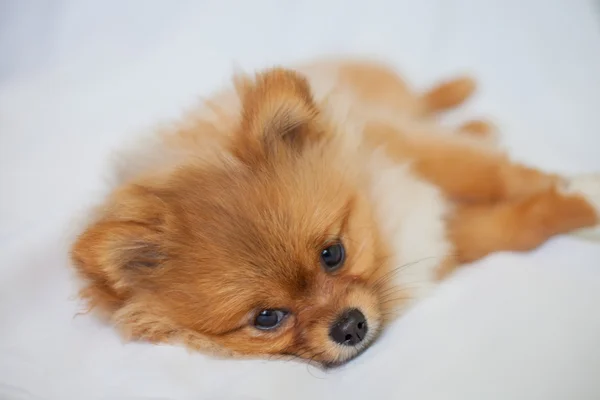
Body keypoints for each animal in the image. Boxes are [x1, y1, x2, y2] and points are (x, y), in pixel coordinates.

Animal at [71, 57, 600, 368]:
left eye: (333, 253)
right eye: (267, 318)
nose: (350, 326)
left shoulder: (405, 145)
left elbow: (491, 175)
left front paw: (574, 189)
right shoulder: (449, 234)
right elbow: (511, 228)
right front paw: (570, 205)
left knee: (423, 99)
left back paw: (461, 90)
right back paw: (476, 121)